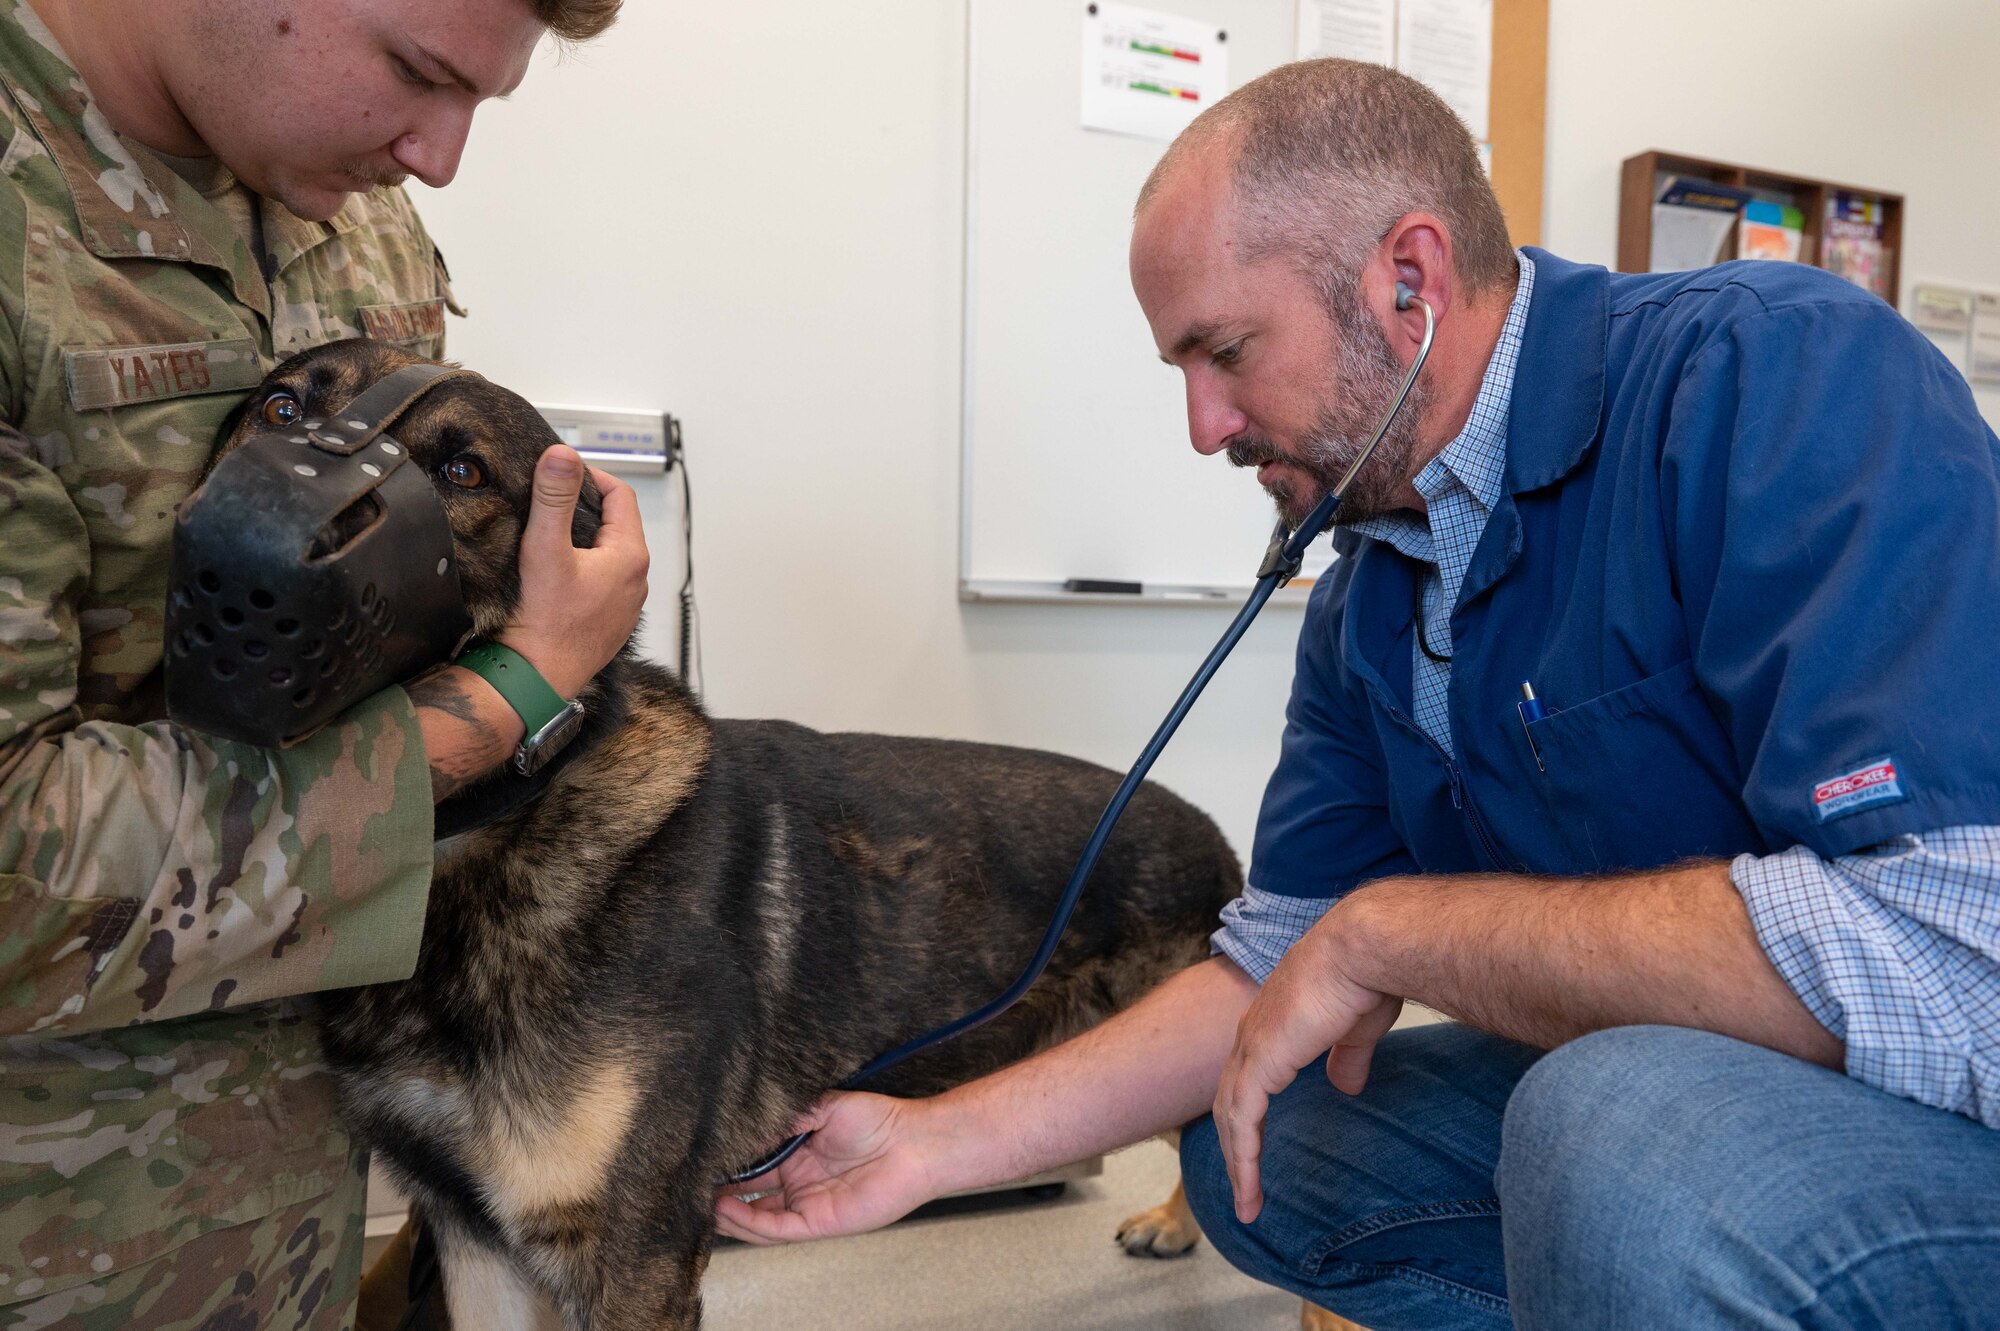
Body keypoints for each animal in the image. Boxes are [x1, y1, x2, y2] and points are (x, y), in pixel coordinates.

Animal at [227, 341, 1240, 1327]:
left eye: (462, 470)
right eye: (281, 409)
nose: (257, 551)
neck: (509, 820)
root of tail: (1216, 836)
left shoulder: (636, 1255)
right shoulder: (476, 1243)